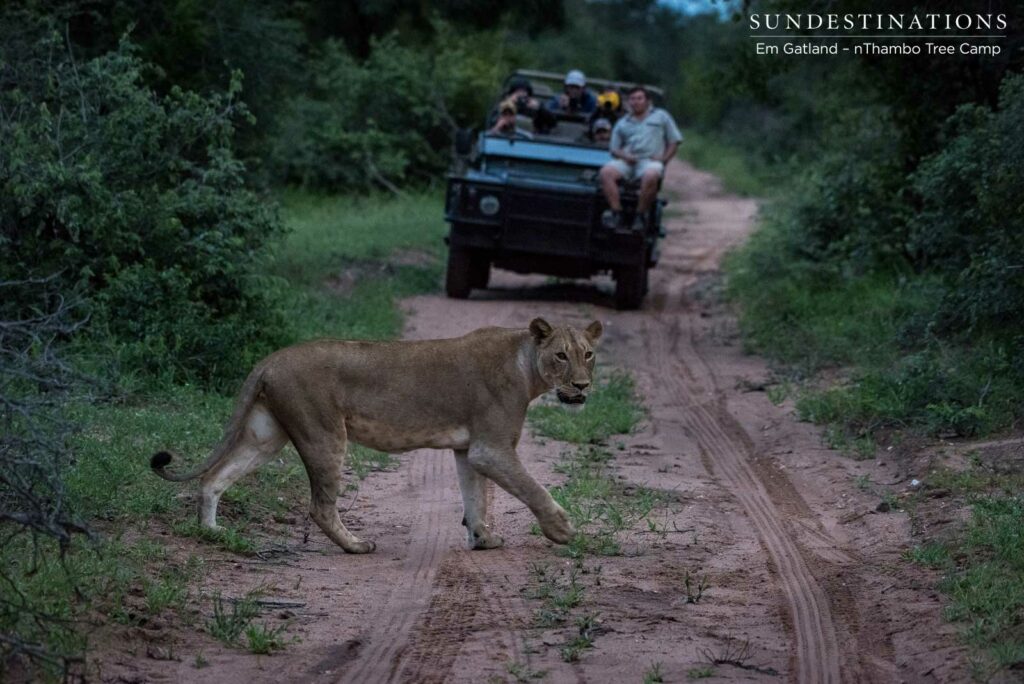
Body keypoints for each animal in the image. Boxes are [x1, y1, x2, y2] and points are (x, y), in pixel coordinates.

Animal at [150, 317, 603, 553]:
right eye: (560, 356)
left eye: (588, 354)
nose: (582, 386)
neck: (526, 365)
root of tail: (270, 359)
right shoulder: (491, 448)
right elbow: (531, 488)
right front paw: (563, 531)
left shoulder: (468, 449)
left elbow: (476, 497)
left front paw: (483, 538)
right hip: (324, 434)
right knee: (320, 506)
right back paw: (355, 545)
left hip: (265, 436)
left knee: (214, 478)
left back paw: (212, 532)